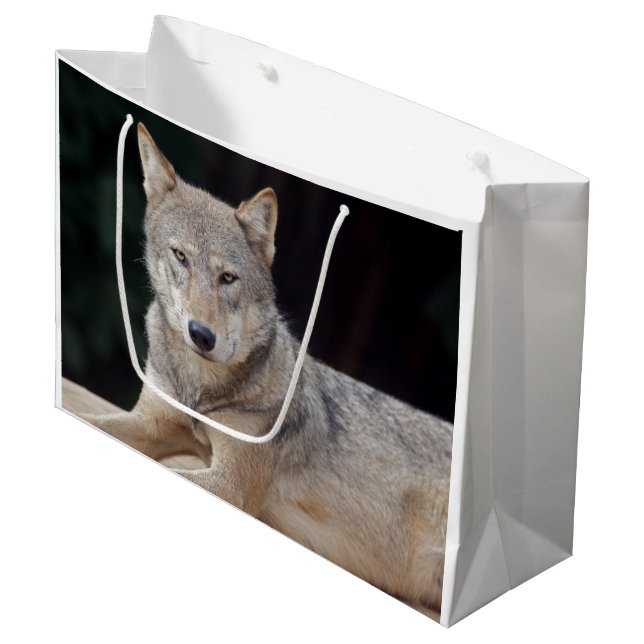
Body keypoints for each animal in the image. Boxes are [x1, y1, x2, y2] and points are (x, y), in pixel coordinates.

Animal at [82, 123, 453, 614]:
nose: (202, 335)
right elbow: (91, 420)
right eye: (180, 256)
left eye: (228, 278)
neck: (201, 392)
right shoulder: (150, 424)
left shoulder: (231, 484)